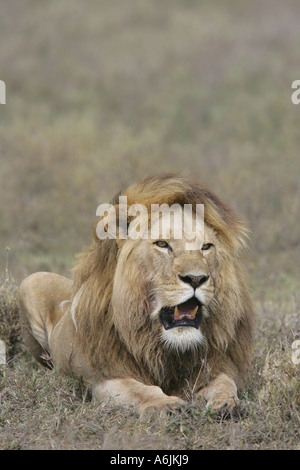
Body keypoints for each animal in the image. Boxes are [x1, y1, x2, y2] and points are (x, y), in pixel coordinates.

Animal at [18, 175, 254, 414]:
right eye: (162, 244)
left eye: (206, 247)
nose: (196, 278)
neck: (164, 348)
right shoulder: (107, 379)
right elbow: (141, 390)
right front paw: (168, 404)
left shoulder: (213, 365)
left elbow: (225, 382)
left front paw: (227, 404)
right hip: (31, 281)